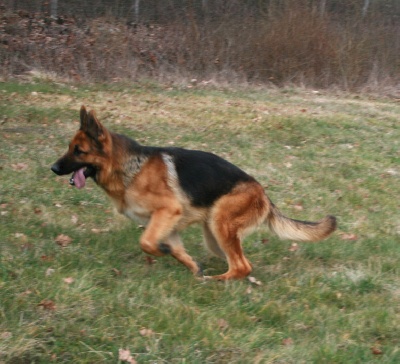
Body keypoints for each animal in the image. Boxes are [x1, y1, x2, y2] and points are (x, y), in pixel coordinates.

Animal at [50, 106, 338, 280]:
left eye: (79, 151)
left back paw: (218, 280)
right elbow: (171, 248)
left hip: (221, 225)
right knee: (243, 262)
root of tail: (264, 195)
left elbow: (145, 242)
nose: (52, 168)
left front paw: (163, 252)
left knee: (241, 265)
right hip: (215, 236)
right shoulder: (168, 224)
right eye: (70, 148)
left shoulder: (167, 211)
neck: (129, 167)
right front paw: (188, 264)